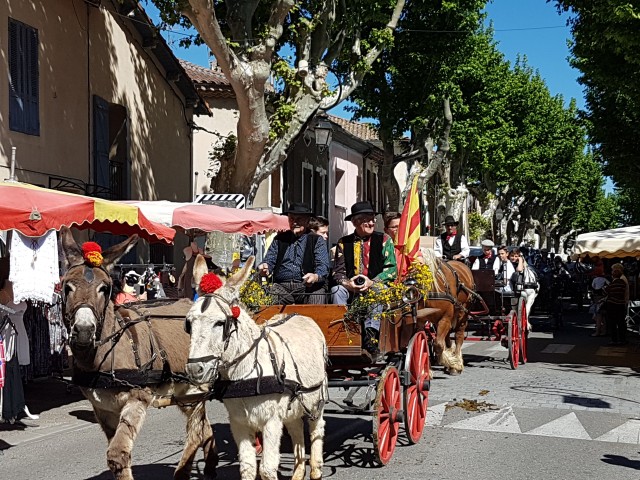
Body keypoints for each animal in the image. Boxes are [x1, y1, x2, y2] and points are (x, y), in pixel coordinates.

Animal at [60, 228, 220, 480]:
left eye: (104, 288)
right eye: (68, 287)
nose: (84, 330)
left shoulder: (137, 398)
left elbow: (117, 454)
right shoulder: (103, 409)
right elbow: (117, 453)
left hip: (196, 389)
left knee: (196, 432)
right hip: (184, 393)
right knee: (204, 429)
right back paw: (210, 466)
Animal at [184, 255, 324, 480]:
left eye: (220, 323)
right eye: (188, 323)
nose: (195, 370)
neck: (246, 374)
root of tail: (300, 315)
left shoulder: (271, 421)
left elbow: (266, 469)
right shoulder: (239, 423)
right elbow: (248, 467)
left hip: (315, 400)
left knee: (316, 429)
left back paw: (316, 469)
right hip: (293, 406)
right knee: (296, 431)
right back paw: (298, 471)